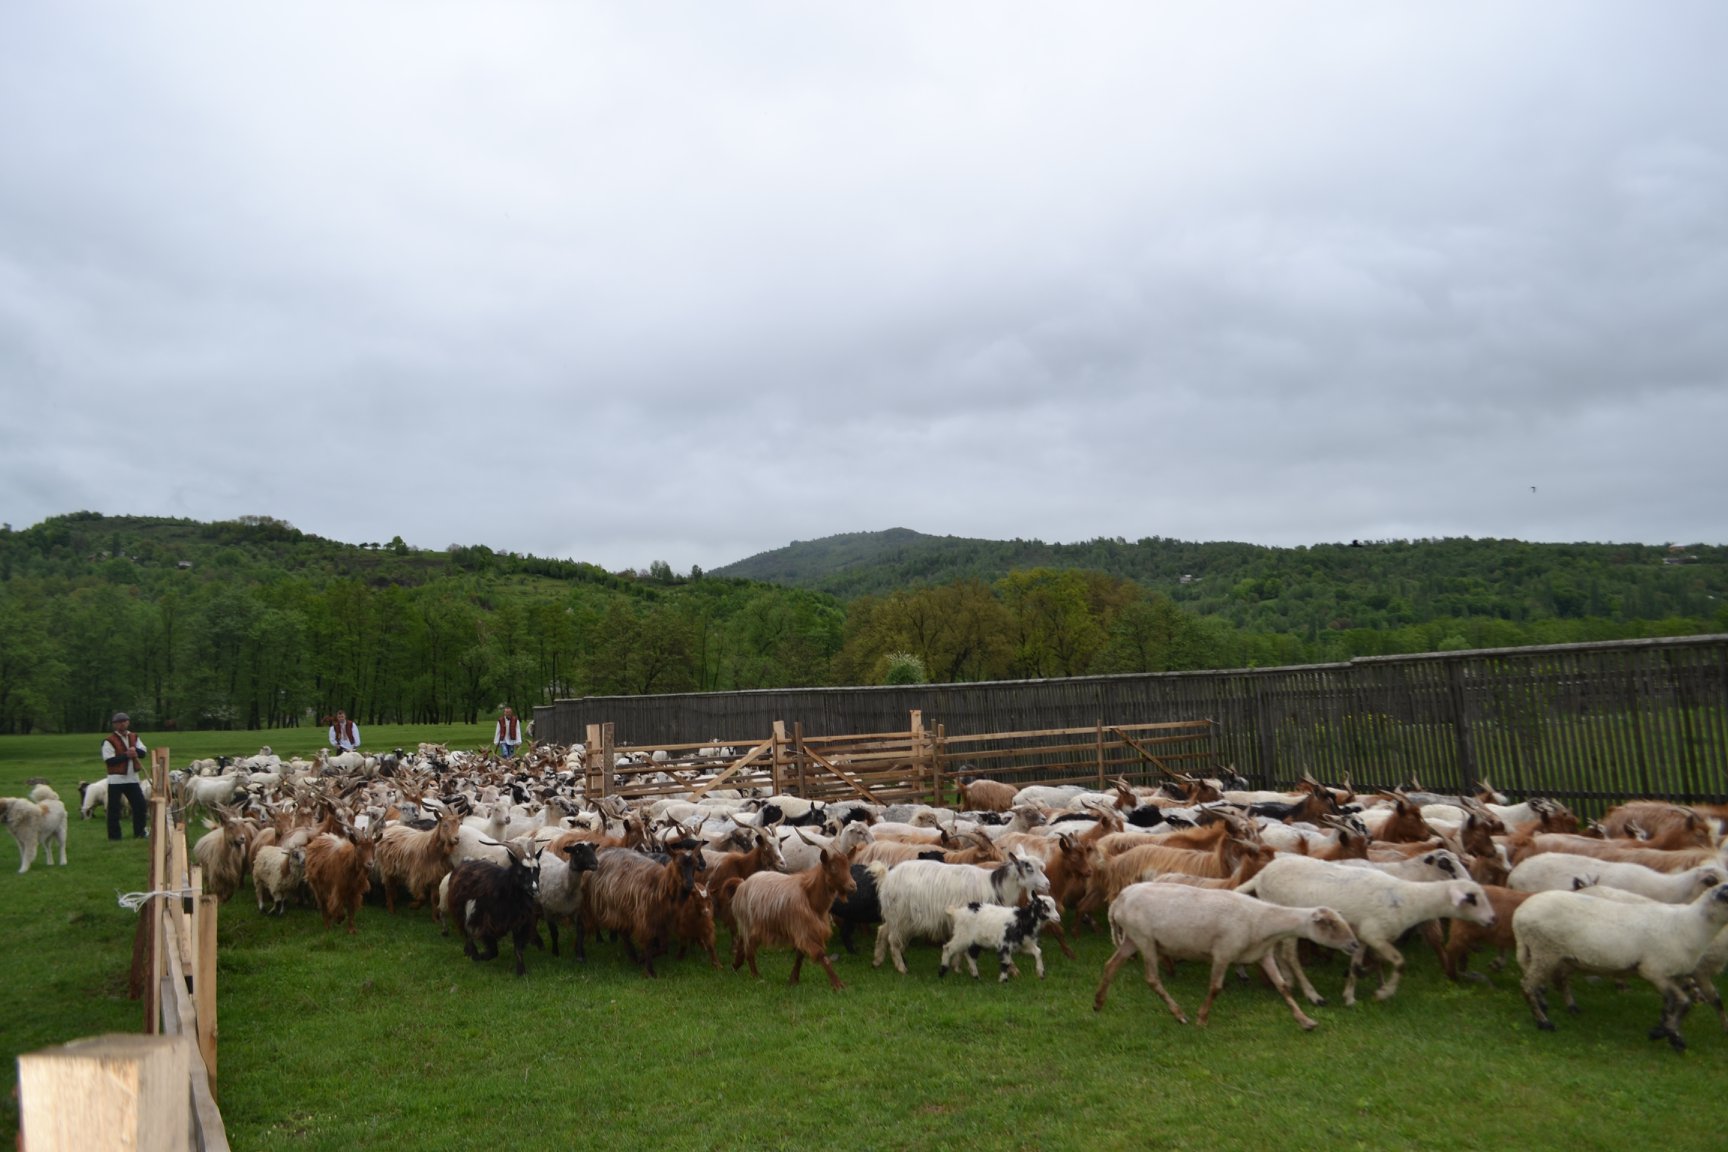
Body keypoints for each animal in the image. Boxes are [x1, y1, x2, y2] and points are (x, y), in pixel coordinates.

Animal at [1244, 856, 1499, 1008]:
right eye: (1472, 898)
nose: (1492, 920)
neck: (1408, 898)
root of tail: (1262, 873)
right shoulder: (1375, 935)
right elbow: (1400, 963)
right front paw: (1383, 993)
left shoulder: (1361, 936)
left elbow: (1356, 965)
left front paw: (1350, 996)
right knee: (1289, 955)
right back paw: (1312, 994)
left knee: (1278, 952)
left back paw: (1288, 981)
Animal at [1513, 884, 1728, 1057]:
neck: (1692, 924)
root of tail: (1519, 915)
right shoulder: (1654, 970)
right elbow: (1684, 1003)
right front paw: (1673, 1038)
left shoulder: (1672, 974)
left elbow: (1673, 1005)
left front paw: (1663, 1030)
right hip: (1545, 949)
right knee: (1527, 985)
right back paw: (1544, 1022)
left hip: (1557, 955)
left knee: (1551, 981)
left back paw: (1564, 1007)